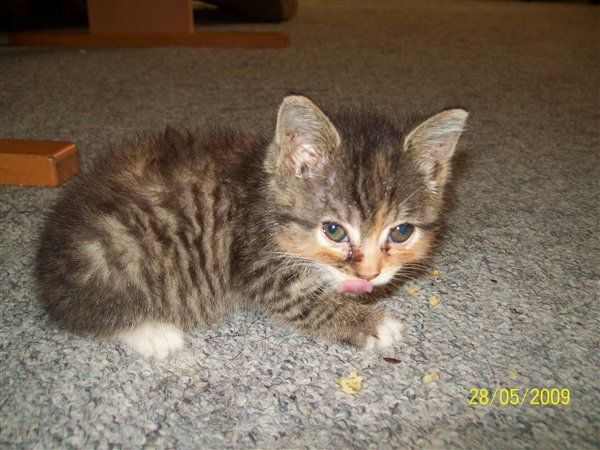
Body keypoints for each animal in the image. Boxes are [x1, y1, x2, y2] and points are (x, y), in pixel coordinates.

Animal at [36, 95, 468, 359]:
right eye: (333, 231)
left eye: (400, 232)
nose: (370, 275)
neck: (263, 194)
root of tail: (47, 265)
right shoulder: (255, 262)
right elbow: (308, 302)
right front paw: (375, 324)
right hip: (114, 250)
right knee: (85, 313)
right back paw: (153, 333)